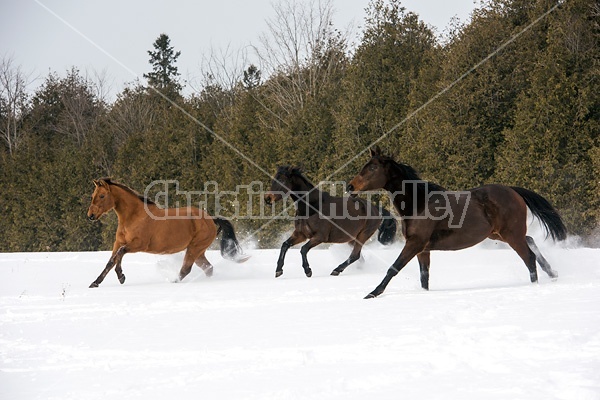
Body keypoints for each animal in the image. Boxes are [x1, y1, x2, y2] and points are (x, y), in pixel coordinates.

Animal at [86, 178, 248, 288]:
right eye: (93, 195)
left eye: (101, 196)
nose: (90, 216)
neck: (134, 217)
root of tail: (211, 219)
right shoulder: (118, 242)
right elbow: (111, 261)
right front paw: (95, 283)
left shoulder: (138, 245)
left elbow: (119, 254)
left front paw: (121, 276)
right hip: (199, 252)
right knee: (208, 268)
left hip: (194, 248)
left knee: (186, 269)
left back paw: (173, 281)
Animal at [264, 166, 396, 278]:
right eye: (273, 180)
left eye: (282, 180)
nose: (267, 199)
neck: (312, 207)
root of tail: (376, 209)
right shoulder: (301, 234)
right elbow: (285, 245)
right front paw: (278, 271)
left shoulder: (319, 237)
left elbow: (303, 249)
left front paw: (308, 271)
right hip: (351, 239)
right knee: (358, 257)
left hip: (363, 235)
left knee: (355, 255)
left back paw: (336, 270)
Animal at [346, 148, 568, 298]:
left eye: (372, 167)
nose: (350, 186)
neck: (418, 203)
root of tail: (513, 191)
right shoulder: (423, 249)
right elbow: (424, 277)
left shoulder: (415, 243)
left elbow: (393, 268)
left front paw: (373, 293)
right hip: (499, 234)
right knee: (530, 240)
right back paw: (553, 273)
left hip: (511, 235)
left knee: (529, 257)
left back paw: (534, 286)